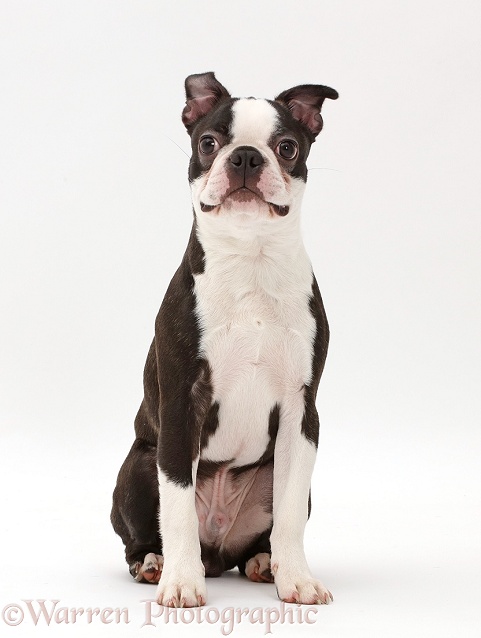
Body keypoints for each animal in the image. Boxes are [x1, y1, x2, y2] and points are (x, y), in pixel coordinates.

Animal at [112, 72, 338, 608]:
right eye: (209, 143)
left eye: (287, 146)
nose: (246, 157)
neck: (251, 260)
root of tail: (217, 553)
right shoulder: (181, 405)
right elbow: (175, 506)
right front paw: (181, 583)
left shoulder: (301, 412)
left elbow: (290, 512)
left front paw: (296, 578)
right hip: (139, 463)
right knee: (146, 530)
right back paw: (155, 563)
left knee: (262, 533)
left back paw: (263, 561)